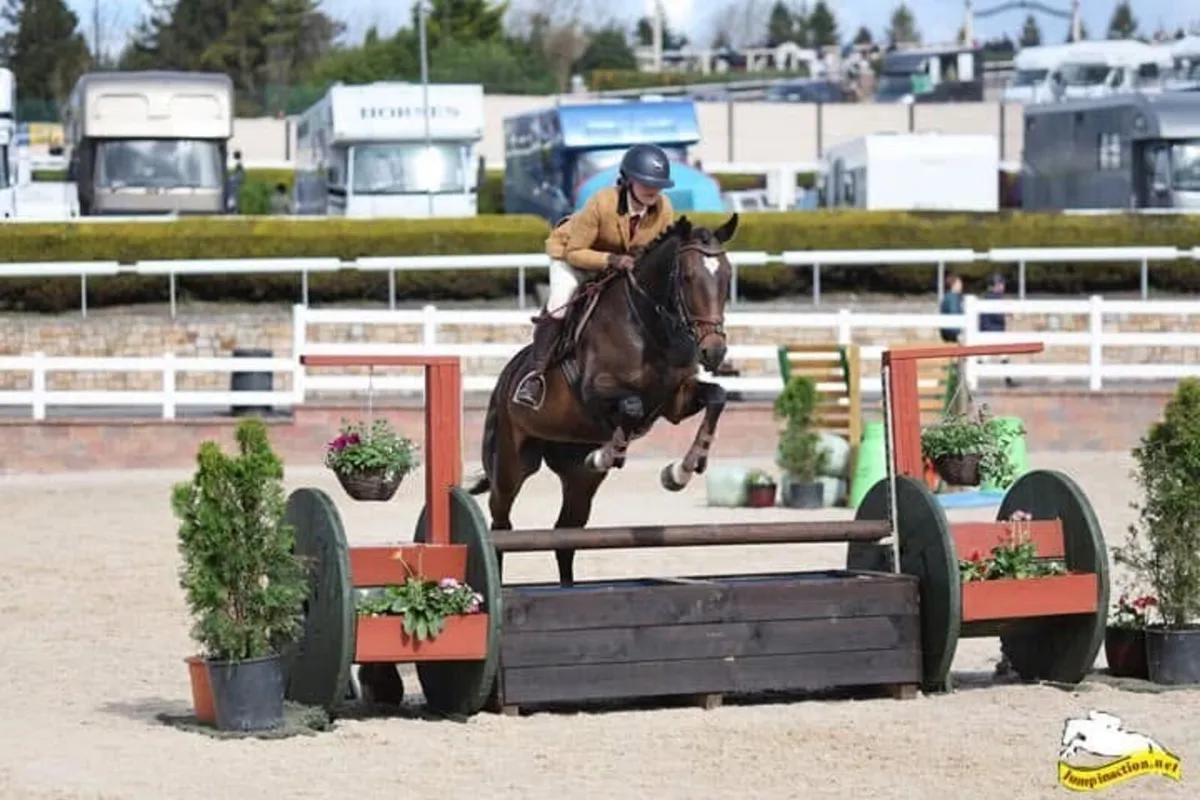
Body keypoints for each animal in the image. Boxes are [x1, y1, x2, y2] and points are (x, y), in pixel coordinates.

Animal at [466, 213, 739, 587]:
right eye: (686, 277)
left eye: (726, 277)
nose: (714, 352)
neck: (650, 326)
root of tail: (505, 378)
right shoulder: (593, 393)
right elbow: (631, 406)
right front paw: (607, 454)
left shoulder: (676, 402)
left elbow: (717, 397)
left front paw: (681, 471)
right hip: (510, 463)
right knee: (501, 524)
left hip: (578, 481)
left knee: (565, 535)